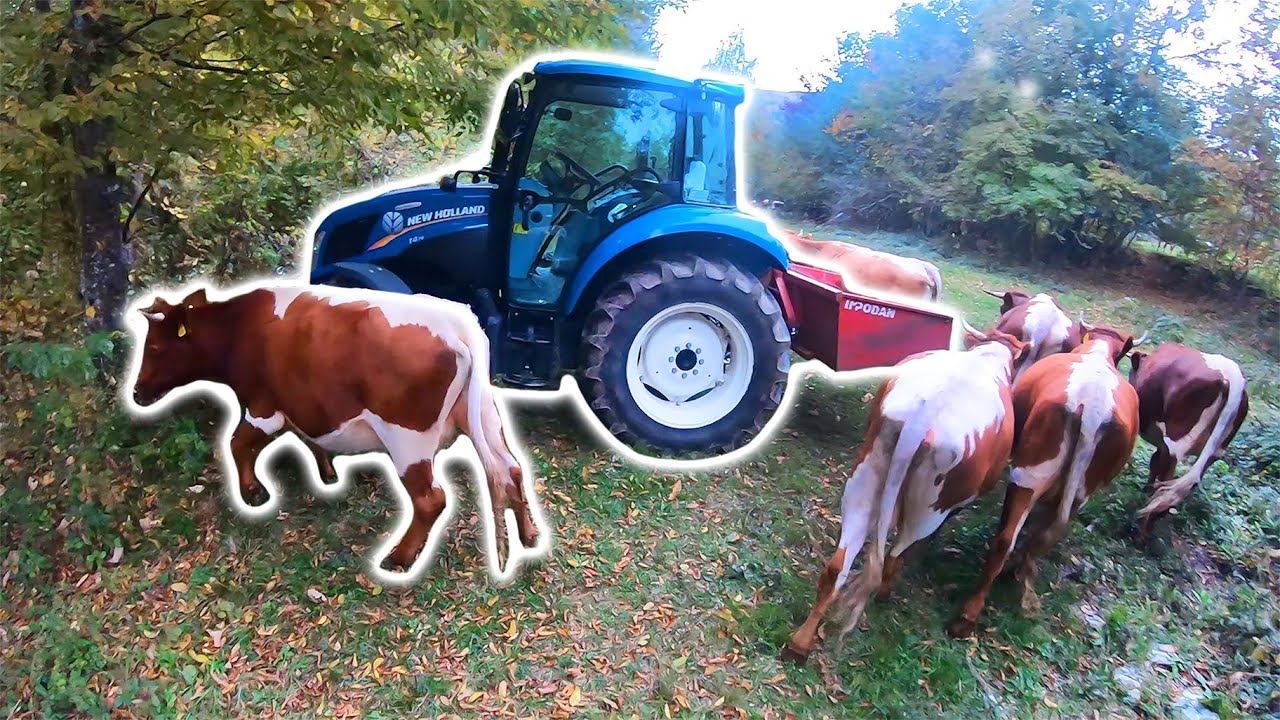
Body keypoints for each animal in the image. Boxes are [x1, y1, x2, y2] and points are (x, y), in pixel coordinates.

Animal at [127, 283, 543, 580]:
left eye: (157, 347)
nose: (136, 391)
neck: (240, 329)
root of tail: (458, 324)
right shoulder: (307, 405)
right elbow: (312, 441)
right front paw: (327, 474)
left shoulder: (263, 408)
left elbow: (237, 444)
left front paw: (252, 493)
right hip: (485, 415)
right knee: (511, 469)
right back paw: (530, 536)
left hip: (407, 437)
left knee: (431, 499)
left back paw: (399, 558)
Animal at [783, 322, 1027, 664]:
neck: (989, 357)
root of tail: (926, 412)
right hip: (930, 507)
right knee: (896, 553)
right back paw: (885, 594)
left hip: (865, 475)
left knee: (838, 566)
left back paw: (800, 644)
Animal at [948, 322, 1139, 638]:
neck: (1098, 352)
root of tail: (1093, 408)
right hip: (1063, 485)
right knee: (1036, 535)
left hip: (1030, 475)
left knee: (1009, 538)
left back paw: (969, 613)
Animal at [1128, 343, 1249, 535]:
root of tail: (1233, 377)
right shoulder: (1162, 444)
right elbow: (1154, 463)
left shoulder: (1164, 443)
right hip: (1215, 452)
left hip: (1177, 441)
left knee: (1166, 480)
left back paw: (1142, 531)